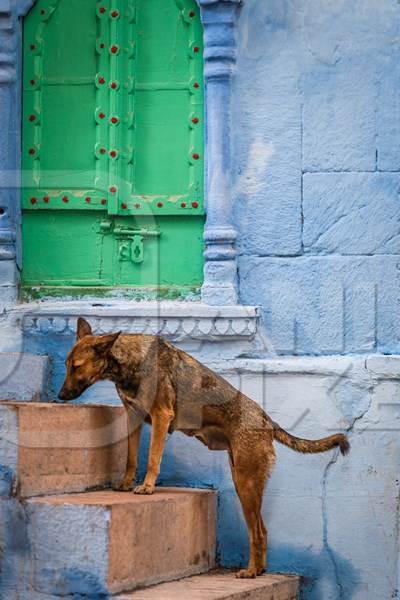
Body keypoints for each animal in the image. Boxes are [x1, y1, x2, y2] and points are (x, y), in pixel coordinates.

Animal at [59, 316, 350, 580]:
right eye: (66, 365)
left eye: (76, 366)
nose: (60, 397)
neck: (128, 361)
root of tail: (267, 420)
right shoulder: (133, 416)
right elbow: (131, 457)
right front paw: (126, 482)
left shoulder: (161, 416)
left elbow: (152, 458)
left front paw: (148, 486)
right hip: (242, 482)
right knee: (263, 530)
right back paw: (259, 569)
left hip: (246, 484)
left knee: (256, 531)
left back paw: (251, 571)